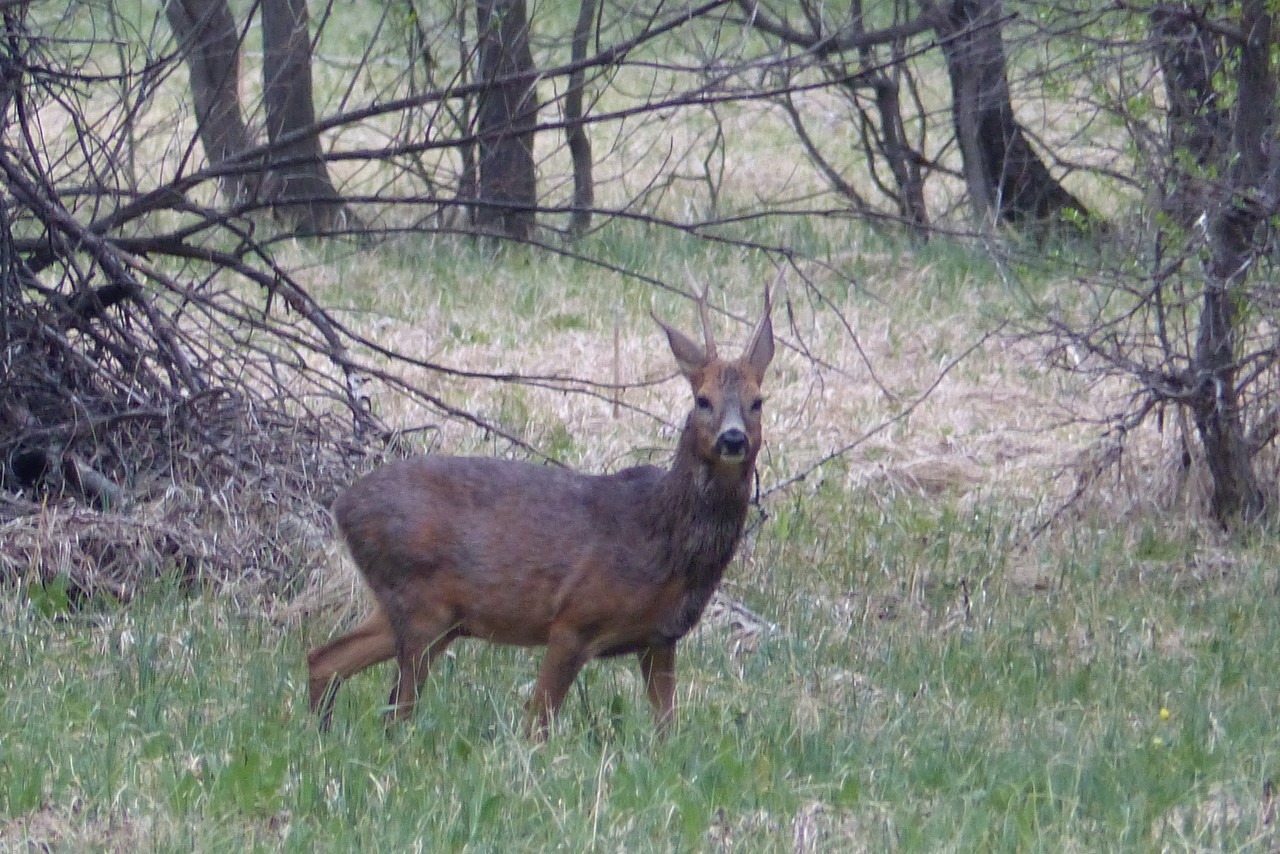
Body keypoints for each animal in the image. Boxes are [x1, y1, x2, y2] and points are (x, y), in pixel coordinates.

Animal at [304, 284, 773, 737]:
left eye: (758, 400)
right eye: (702, 399)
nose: (733, 439)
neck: (666, 541)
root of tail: (343, 505)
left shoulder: (660, 638)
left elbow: (666, 730)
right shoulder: (574, 619)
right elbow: (537, 726)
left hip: (423, 612)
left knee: (324, 658)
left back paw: (320, 736)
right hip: (419, 602)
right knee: (395, 711)